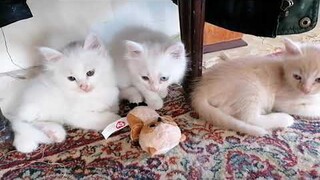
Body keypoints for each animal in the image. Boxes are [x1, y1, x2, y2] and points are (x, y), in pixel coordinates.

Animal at [191, 38, 320, 136]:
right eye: (297, 77)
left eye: (318, 80)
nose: (305, 90)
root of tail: (201, 88)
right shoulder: (281, 101)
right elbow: (308, 109)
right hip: (252, 87)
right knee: (248, 118)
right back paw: (284, 119)